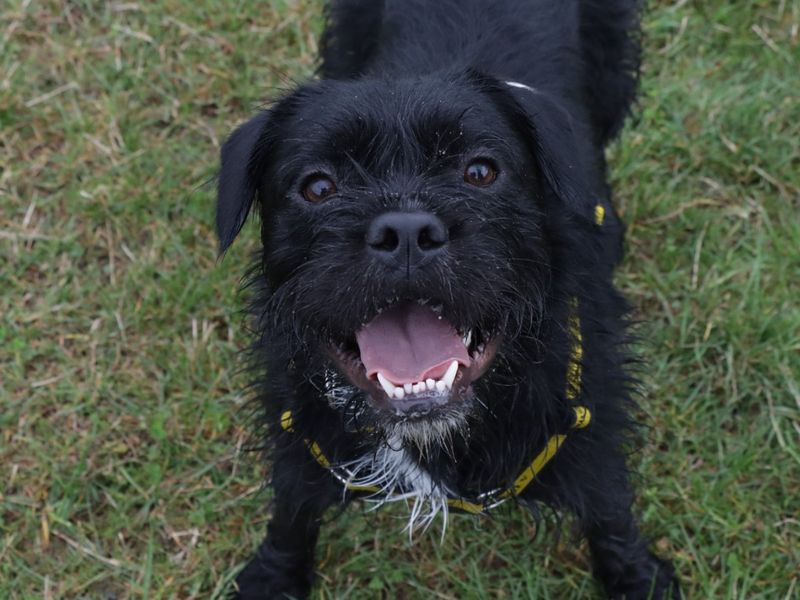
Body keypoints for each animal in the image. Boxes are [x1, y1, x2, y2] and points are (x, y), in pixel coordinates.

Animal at [216, 1, 680, 600]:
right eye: (318, 187)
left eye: (480, 171)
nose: (406, 232)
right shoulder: (295, 417)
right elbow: (292, 504)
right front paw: (275, 575)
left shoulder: (590, 415)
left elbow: (609, 505)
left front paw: (636, 577)